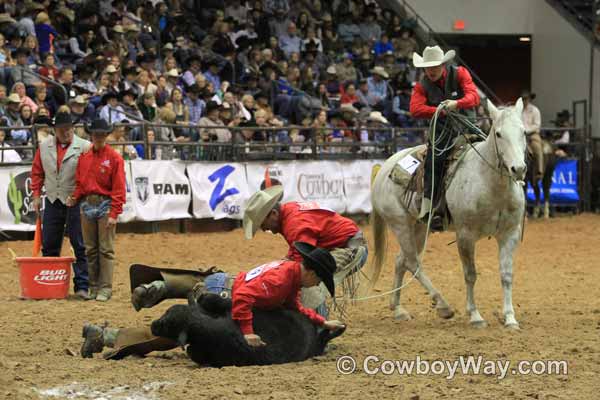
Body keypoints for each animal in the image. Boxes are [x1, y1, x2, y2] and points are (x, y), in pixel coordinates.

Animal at [370, 99, 524, 328]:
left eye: (523, 132)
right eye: (498, 134)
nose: (518, 169)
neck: (492, 186)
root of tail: (383, 168)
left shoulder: (510, 233)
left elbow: (506, 275)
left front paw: (510, 318)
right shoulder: (465, 235)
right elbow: (470, 274)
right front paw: (475, 316)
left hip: (418, 227)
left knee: (401, 260)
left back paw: (398, 309)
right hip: (399, 224)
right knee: (413, 262)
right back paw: (443, 305)